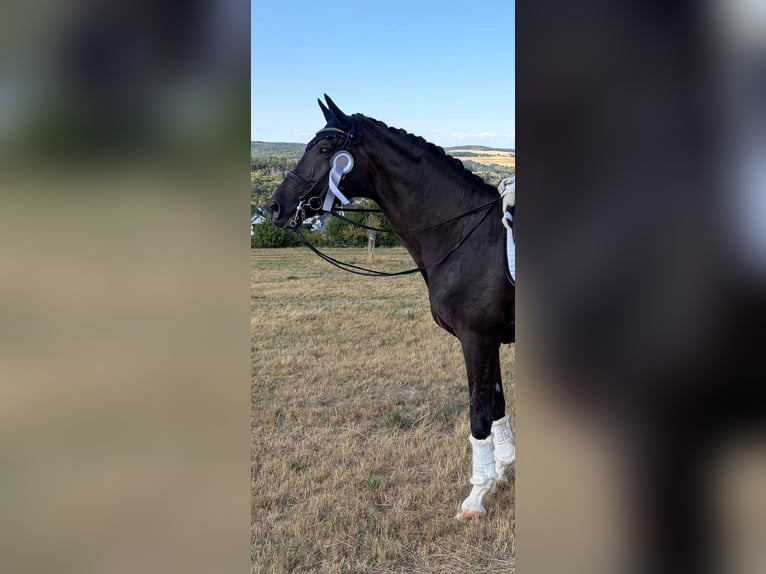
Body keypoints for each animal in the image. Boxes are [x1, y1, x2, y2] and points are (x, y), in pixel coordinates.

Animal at [268, 95, 515, 519]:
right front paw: (499, 473)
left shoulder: (477, 340)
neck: (466, 237)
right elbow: (496, 404)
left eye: (324, 150)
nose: (275, 207)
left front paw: (475, 498)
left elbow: (479, 414)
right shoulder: (489, 342)